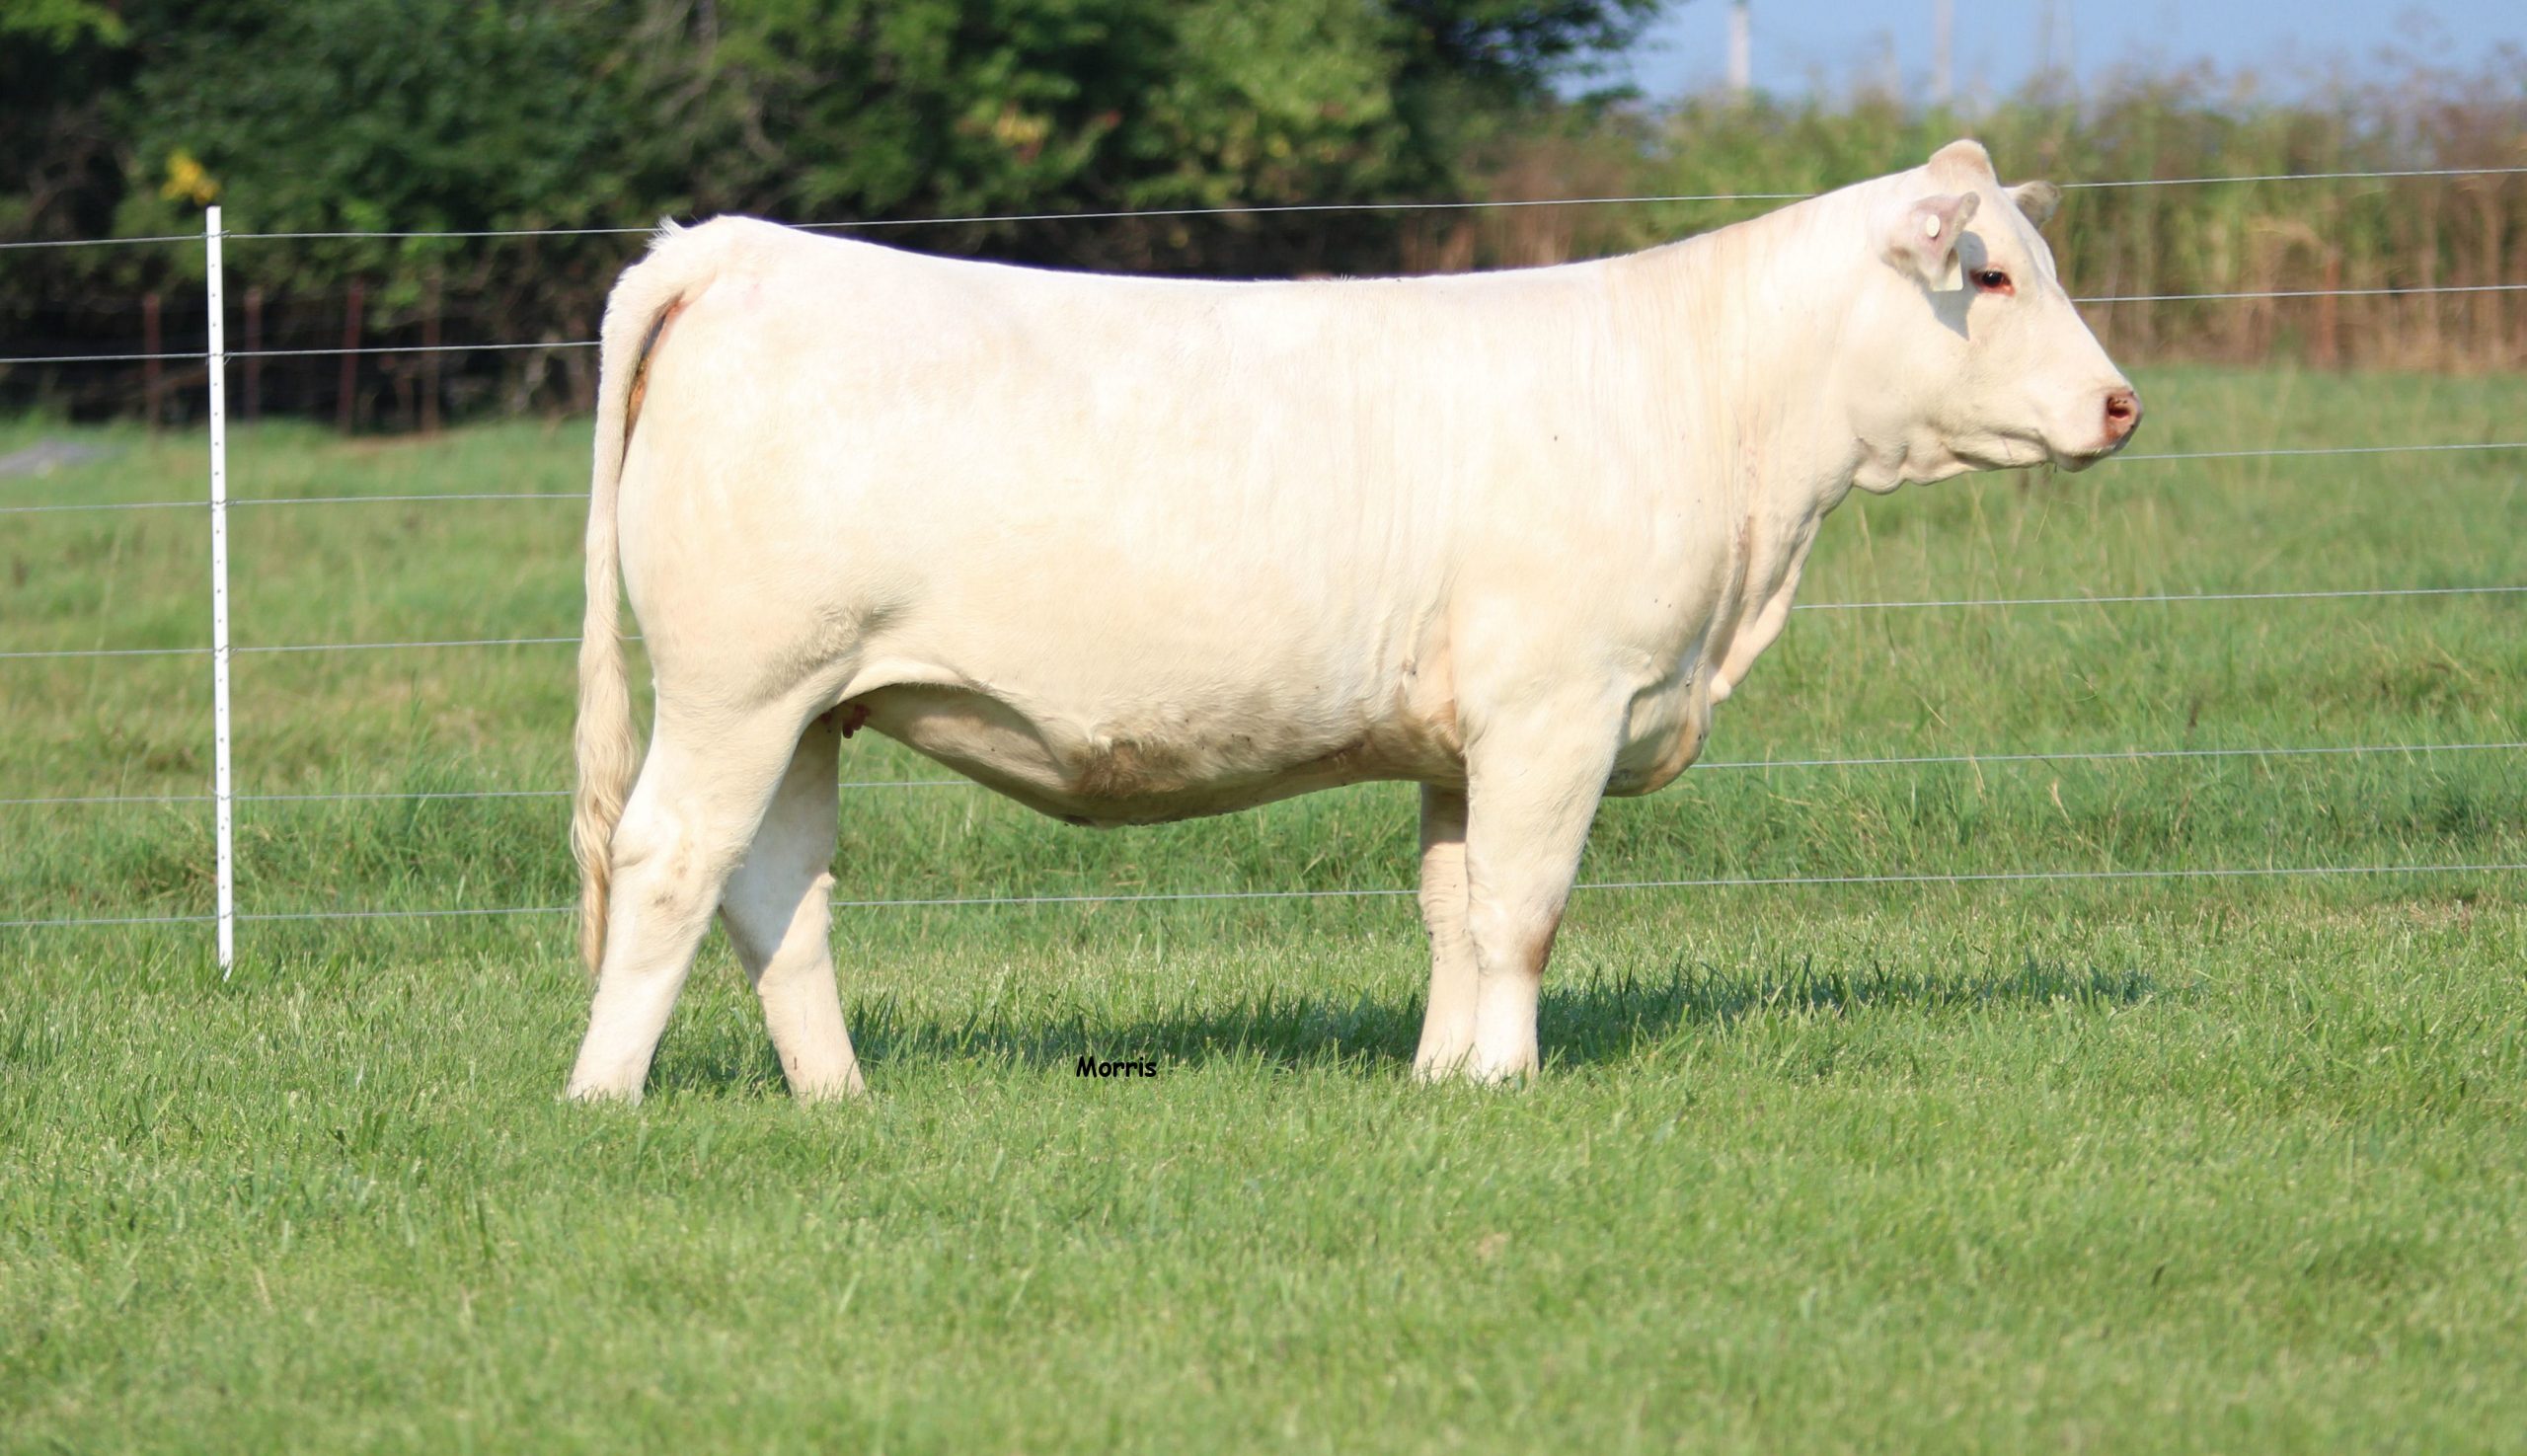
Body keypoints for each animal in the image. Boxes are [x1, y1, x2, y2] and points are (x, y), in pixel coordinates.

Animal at [562, 139, 2141, 1102]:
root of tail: (734, 248)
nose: (2121, 402)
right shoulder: (1556, 707)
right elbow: (1522, 908)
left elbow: (1452, 902)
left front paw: (1442, 1078)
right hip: (739, 683)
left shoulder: (1461, 735)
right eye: (1990, 272)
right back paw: (606, 1092)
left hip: (813, 706)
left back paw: (840, 1094)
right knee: (669, 858)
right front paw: (1509, 1078)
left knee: (775, 888)